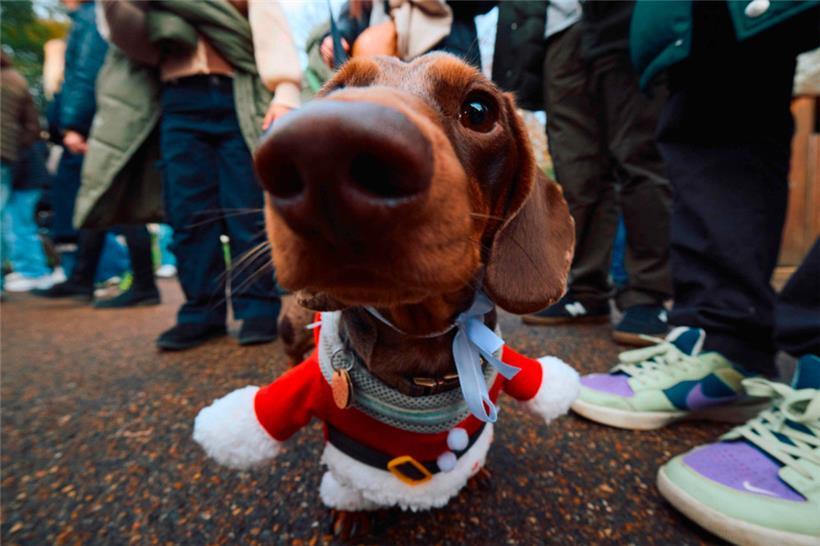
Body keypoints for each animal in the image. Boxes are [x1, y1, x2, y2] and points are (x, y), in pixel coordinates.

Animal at [193, 53, 579, 538]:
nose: (324, 147)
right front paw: (351, 511)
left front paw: (473, 473)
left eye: (479, 110)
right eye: (336, 91)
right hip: (289, 327)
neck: (421, 344)